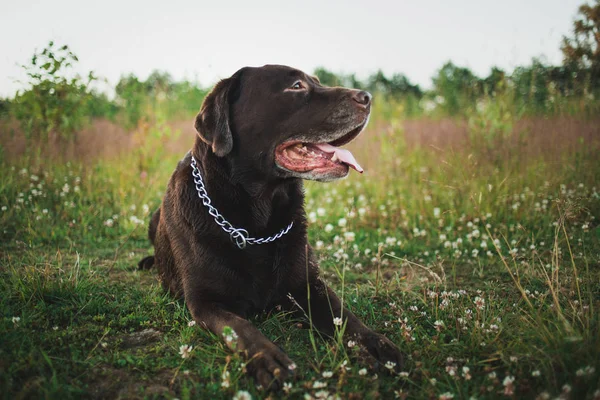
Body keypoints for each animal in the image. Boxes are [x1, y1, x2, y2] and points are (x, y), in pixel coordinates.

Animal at [139, 64, 406, 390]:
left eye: (317, 81)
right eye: (297, 85)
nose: (367, 97)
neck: (257, 224)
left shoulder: (309, 284)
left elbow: (344, 316)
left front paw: (374, 343)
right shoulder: (205, 302)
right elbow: (238, 327)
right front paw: (267, 358)